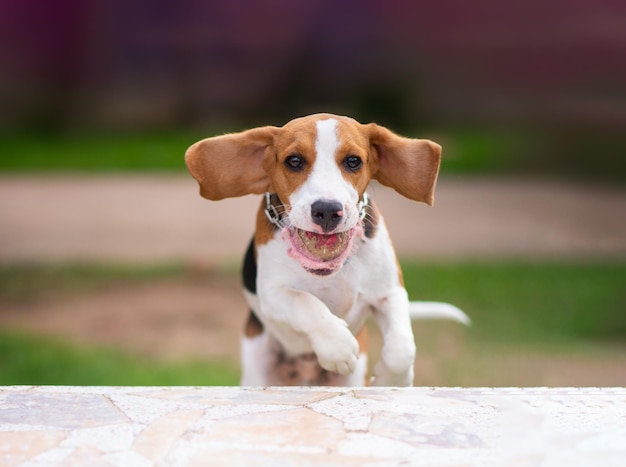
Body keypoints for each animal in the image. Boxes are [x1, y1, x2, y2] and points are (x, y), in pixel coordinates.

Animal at [183, 113, 466, 388]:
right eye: (294, 161)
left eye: (353, 161)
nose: (328, 210)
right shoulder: (272, 293)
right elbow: (307, 303)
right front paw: (338, 347)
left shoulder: (390, 291)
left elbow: (401, 348)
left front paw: (391, 380)